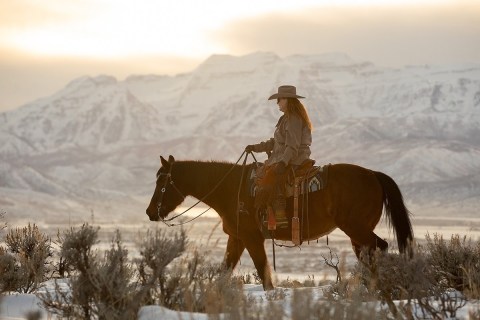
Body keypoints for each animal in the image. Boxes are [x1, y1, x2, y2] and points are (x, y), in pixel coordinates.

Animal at [146, 155, 412, 290]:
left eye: (161, 183)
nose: (150, 212)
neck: (230, 189)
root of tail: (374, 175)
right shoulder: (237, 238)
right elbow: (225, 270)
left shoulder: (252, 238)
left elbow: (264, 274)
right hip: (357, 234)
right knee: (370, 254)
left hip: (356, 229)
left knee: (381, 247)